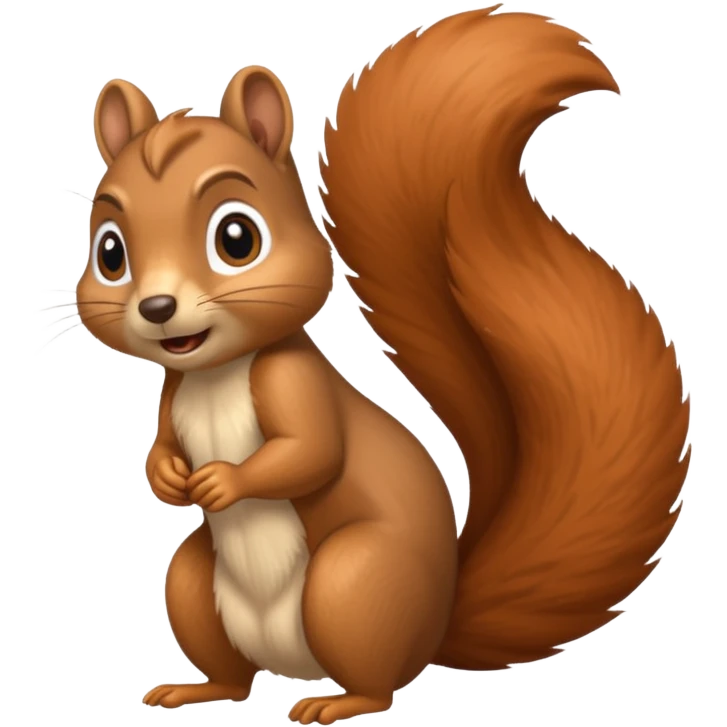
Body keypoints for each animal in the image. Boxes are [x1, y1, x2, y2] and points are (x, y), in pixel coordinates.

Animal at [79, 6, 690, 724]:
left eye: (237, 238)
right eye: (109, 251)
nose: (157, 307)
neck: (215, 371)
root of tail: (436, 623)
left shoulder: (292, 382)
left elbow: (310, 451)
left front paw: (224, 481)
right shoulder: (173, 389)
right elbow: (162, 446)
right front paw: (170, 477)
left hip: (352, 582)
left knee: (375, 679)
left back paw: (338, 703)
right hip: (193, 585)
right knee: (232, 671)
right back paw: (196, 688)